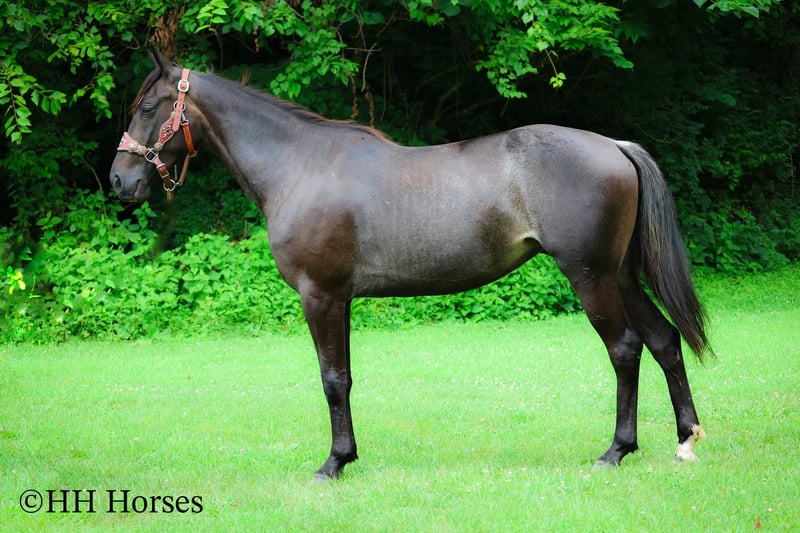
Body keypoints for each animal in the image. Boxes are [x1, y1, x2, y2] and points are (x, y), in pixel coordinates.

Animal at [110, 45, 709, 479]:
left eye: (147, 108)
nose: (120, 181)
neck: (300, 166)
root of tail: (612, 144)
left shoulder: (320, 295)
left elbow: (332, 378)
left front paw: (334, 463)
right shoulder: (340, 299)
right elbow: (346, 377)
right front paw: (347, 455)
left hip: (592, 278)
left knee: (625, 349)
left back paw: (616, 450)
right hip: (622, 276)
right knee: (663, 340)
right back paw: (685, 441)